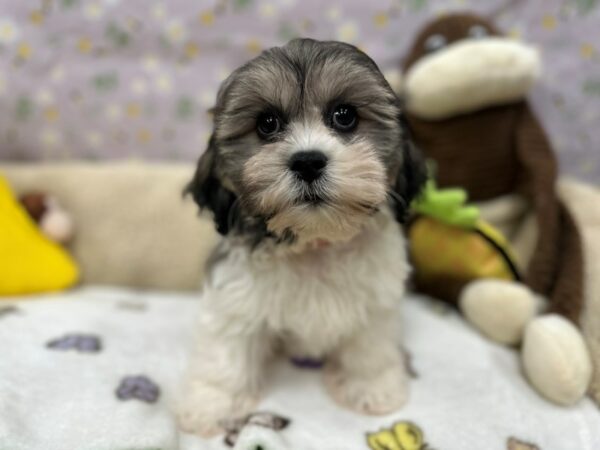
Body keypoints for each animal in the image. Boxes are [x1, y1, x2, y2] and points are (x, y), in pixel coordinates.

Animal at [178, 38, 426, 436]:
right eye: (267, 123)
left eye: (345, 115)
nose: (308, 161)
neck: (314, 242)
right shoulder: (236, 297)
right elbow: (226, 350)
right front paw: (212, 404)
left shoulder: (376, 301)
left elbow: (369, 346)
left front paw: (372, 387)